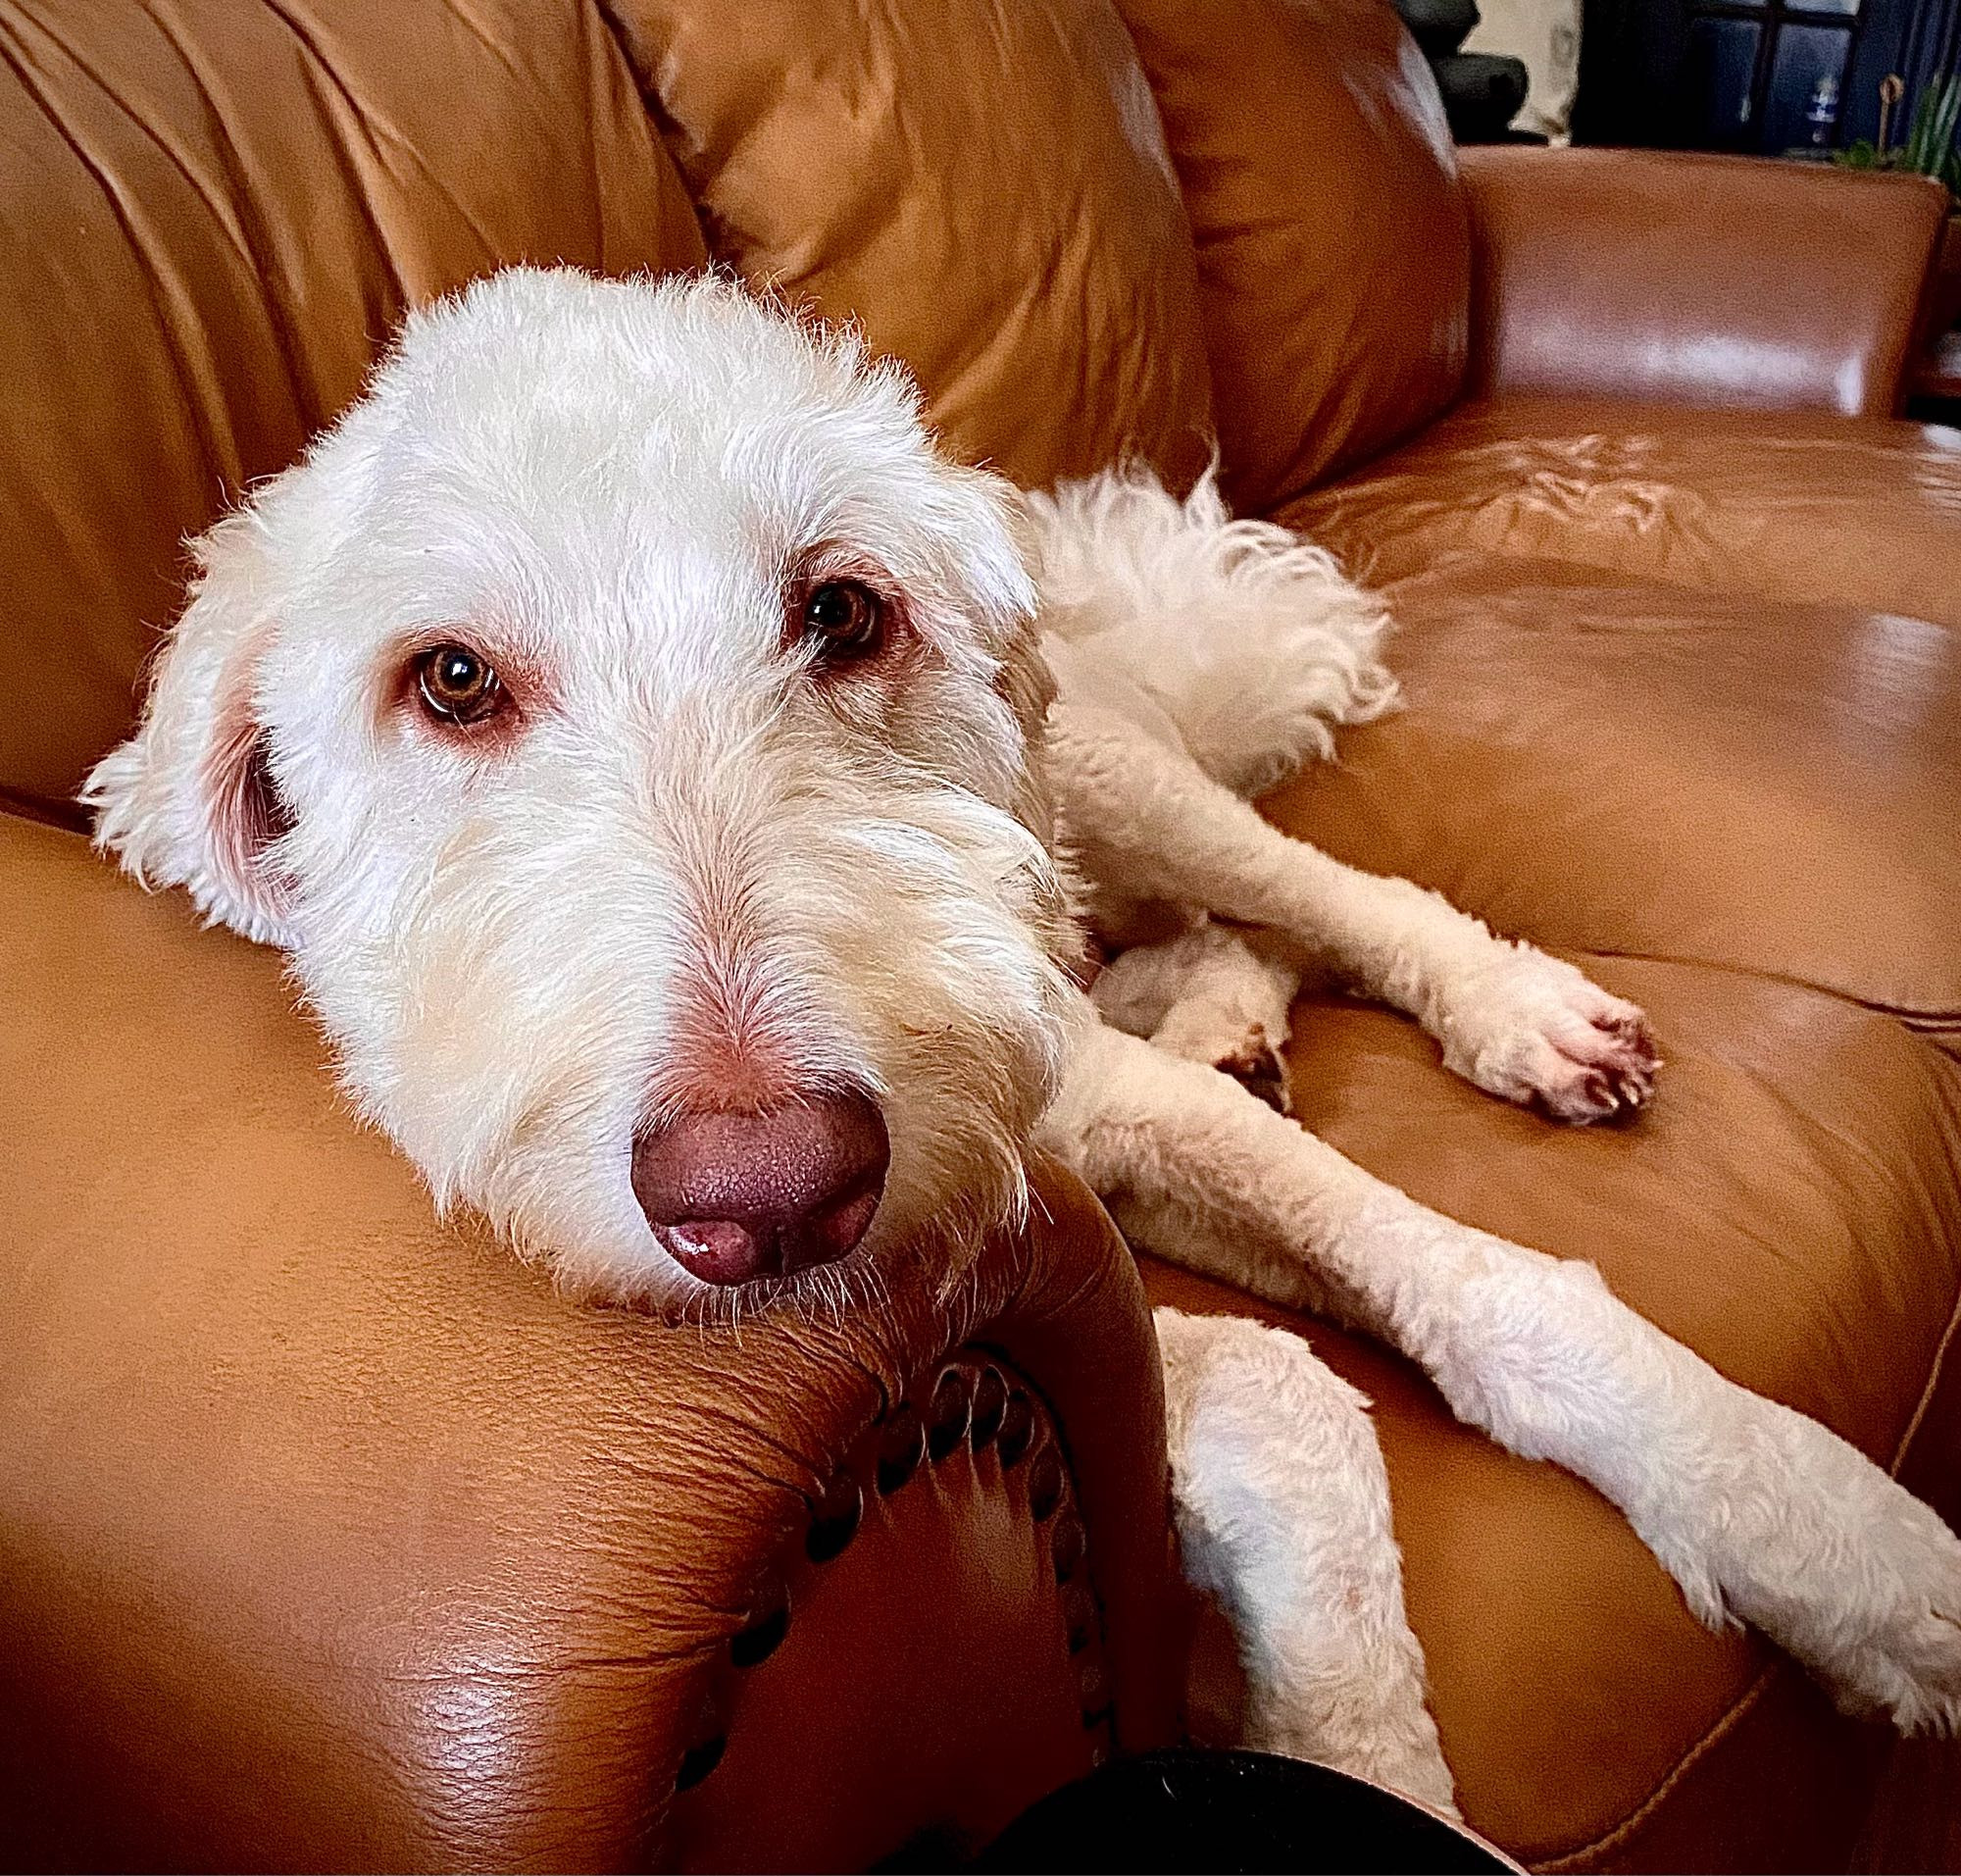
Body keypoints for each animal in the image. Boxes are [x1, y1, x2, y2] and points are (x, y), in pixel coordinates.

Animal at [84, 267, 1953, 1820]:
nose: (776, 1192)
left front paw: (1825, 1533)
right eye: (452, 678)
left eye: (842, 612)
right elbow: (1290, 1392)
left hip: (1116, 778)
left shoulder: (1085, 1124)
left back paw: (1496, 1005)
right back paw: (1224, 1006)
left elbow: (1489, 1293)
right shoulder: (1064, 1253)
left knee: (1311, 885)